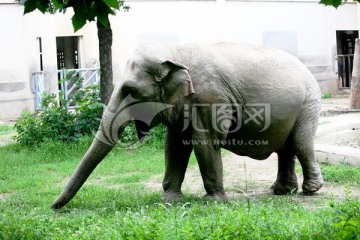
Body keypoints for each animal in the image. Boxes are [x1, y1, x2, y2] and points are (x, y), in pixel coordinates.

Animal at [51, 42, 324, 208]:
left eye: (131, 91)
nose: (53, 207)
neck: (173, 53)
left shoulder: (211, 97)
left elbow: (205, 142)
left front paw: (215, 201)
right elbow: (174, 146)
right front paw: (168, 200)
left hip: (308, 104)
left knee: (300, 144)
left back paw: (311, 190)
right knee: (286, 148)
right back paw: (281, 191)